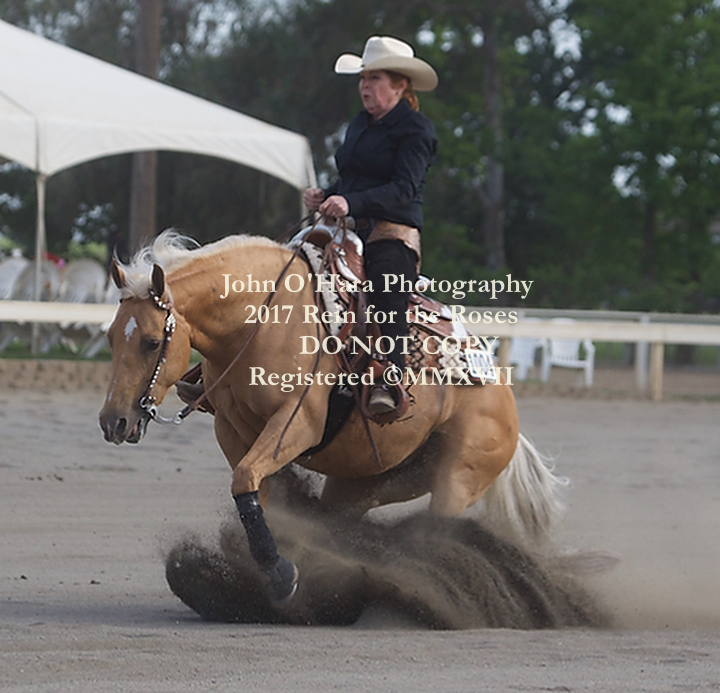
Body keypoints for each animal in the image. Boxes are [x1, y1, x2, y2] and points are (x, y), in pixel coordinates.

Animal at [99, 231, 564, 603]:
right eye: (111, 336)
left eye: (152, 341)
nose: (113, 422)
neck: (263, 319)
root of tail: (501, 393)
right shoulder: (230, 430)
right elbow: (255, 493)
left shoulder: (297, 424)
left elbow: (246, 480)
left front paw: (281, 575)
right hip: (366, 484)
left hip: (459, 479)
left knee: (437, 533)